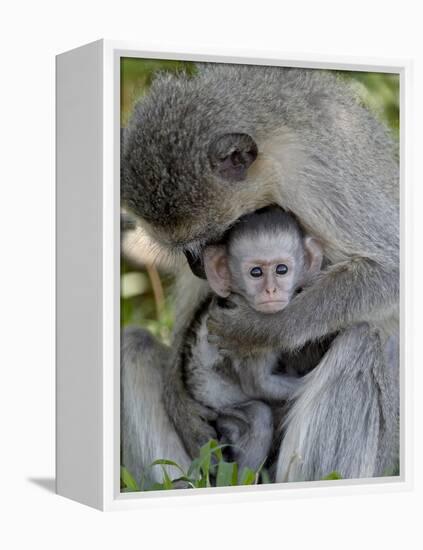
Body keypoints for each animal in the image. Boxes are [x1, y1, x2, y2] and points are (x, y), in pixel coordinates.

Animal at [178, 207, 322, 470]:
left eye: (281, 270)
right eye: (256, 272)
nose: (270, 290)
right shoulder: (248, 337)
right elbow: (259, 385)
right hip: (222, 412)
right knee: (258, 416)